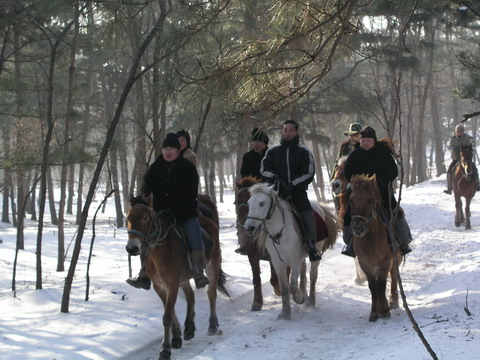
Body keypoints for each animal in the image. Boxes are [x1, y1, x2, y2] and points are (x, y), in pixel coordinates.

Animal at [124, 197, 229, 360]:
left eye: (145, 217)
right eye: (128, 217)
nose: (132, 248)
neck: (161, 250)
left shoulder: (172, 285)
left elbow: (167, 316)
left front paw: (165, 349)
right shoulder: (159, 286)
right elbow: (171, 311)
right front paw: (176, 337)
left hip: (212, 265)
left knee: (211, 294)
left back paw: (212, 325)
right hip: (183, 279)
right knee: (190, 296)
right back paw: (189, 328)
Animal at [235, 176, 282, 310]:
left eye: (249, 200)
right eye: (236, 201)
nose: (245, 225)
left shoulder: (273, 254)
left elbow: (276, 276)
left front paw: (280, 290)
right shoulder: (252, 252)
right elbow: (256, 278)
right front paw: (257, 302)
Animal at [244, 184, 338, 320]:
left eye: (262, 203)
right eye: (249, 203)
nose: (248, 228)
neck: (280, 234)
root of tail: (318, 205)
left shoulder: (294, 262)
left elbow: (292, 287)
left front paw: (299, 299)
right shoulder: (278, 263)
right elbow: (284, 288)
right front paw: (285, 313)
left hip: (315, 254)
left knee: (313, 275)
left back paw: (310, 301)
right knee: (304, 273)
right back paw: (305, 295)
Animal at [346, 174, 404, 320]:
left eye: (369, 200)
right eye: (351, 200)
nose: (358, 228)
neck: (370, 239)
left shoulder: (384, 262)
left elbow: (381, 284)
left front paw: (383, 310)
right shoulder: (364, 263)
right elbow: (372, 286)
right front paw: (374, 311)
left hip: (395, 258)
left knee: (394, 276)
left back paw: (393, 301)